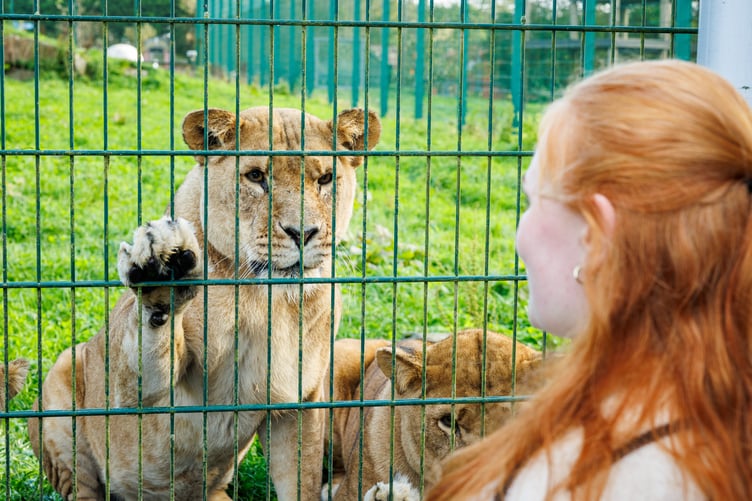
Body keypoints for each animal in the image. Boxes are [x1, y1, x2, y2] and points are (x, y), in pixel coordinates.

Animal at [28, 106, 381, 500]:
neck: (267, 300)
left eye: (325, 179)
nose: (302, 233)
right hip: (64, 376)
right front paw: (161, 270)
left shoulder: (298, 401)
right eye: (256, 176)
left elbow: (300, 481)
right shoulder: (131, 390)